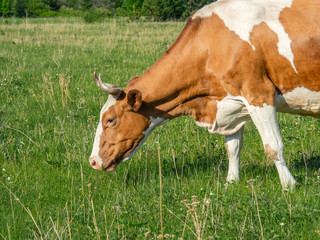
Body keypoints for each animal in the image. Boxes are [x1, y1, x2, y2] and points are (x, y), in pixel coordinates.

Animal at [88, 0, 320, 189]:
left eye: (110, 119)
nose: (92, 161)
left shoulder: (258, 93)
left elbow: (273, 145)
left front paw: (289, 185)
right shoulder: (229, 103)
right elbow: (233, 147)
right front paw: (231, 182)